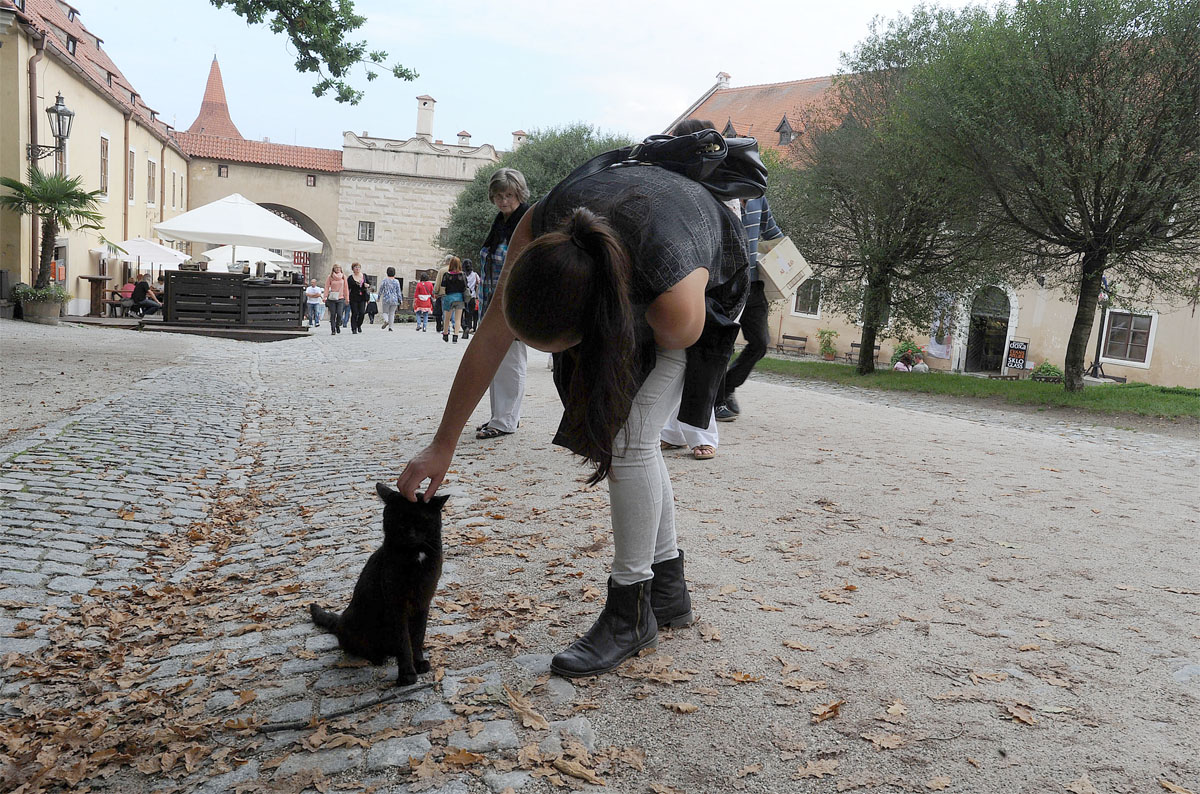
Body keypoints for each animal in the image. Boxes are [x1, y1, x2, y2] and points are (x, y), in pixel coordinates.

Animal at [309, 482, 446, 686]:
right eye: (397, 519)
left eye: (420, 519)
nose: (407, 533)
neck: (416, 555)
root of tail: (340, 620)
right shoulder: (396, 604)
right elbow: (404, 641)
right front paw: (407, 675)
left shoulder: (423, 601)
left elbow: (417, 637)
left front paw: (419, 662)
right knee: (354, 647)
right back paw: (378, 657)